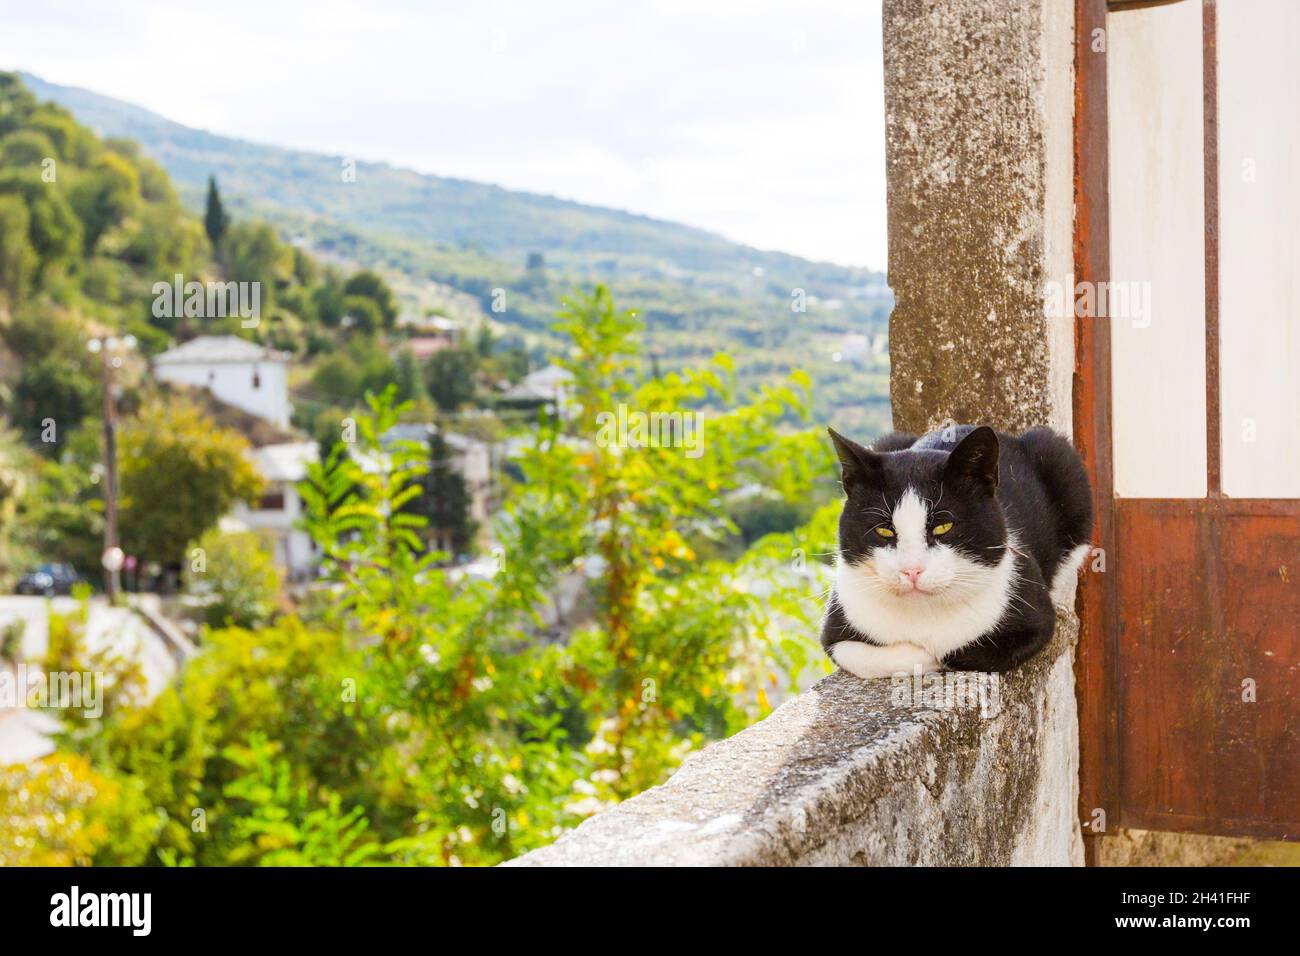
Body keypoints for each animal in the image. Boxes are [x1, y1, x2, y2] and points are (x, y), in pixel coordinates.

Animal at [826, 426, 1092, 681]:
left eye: (943, 527)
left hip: (1061, 460)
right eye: (883, 530)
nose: (911, 570)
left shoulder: (1037, 619)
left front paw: (936, 654)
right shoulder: (834, 629)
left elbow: (962, 653)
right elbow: (857, 654)